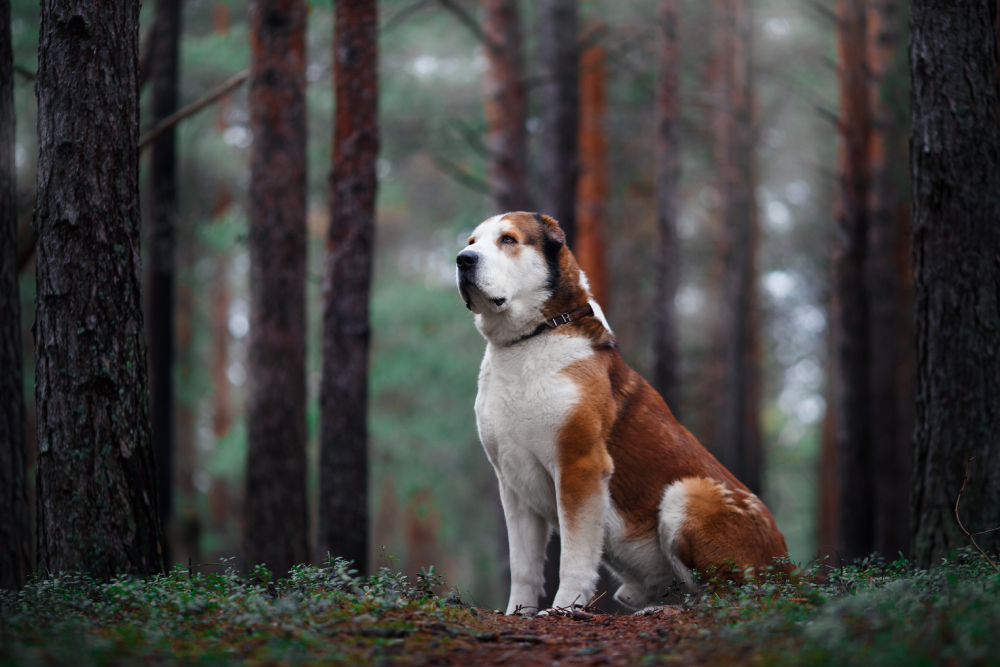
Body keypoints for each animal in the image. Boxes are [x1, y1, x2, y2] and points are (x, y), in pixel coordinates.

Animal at [458, 211, 792, 612]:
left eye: (508, 240)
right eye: (472, 242)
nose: (463, 259)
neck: (532, 339)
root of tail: (790, 570)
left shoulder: (579, 467)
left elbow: (574, 557)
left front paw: (563, 610)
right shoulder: (513, 485)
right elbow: (523, 568)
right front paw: (518, 614)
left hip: (686, 495)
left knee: (729, 597)